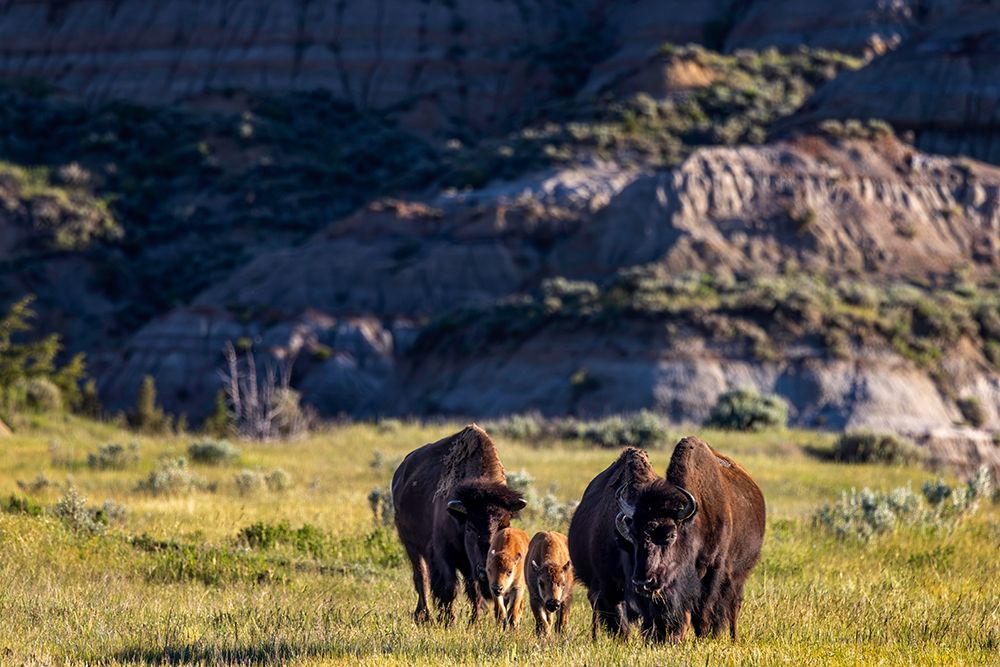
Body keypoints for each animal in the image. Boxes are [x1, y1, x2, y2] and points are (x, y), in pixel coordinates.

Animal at [391, 424, 527, 625]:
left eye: (504, 525)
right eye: (470, 527)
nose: (486, 571)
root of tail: (401, 472)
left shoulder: (470, 566)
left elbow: (474, 592)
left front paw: (475, 621)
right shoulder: (442, 554)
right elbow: (449, 587)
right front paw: (448, 621)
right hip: (411, 545)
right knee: (421, 577)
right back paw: (424, 615)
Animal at [568, 438, 765, 642]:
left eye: (670, 536)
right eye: (633, 538)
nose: (643, 581)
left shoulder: (712, 571)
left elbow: (704, 609)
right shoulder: (611, 585)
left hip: (738, 576)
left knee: (732, 605)